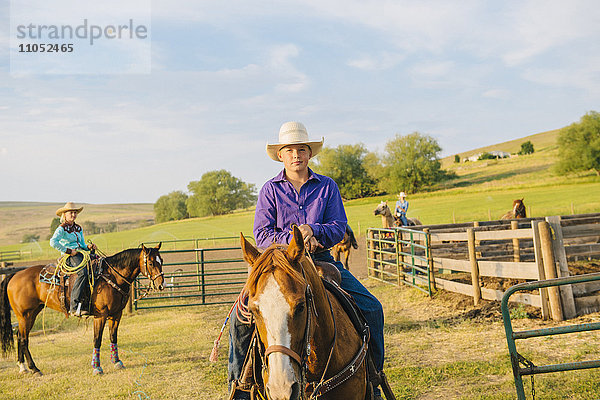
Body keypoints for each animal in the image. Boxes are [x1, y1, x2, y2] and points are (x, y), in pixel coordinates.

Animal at [0, 242, 164, 376]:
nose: (161, 285)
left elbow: (113, 337)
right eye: (150, 262)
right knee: (23, 339)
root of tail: (15, 275)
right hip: (25, 315)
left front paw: (117, 362)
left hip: (32, 313)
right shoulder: (101, 315)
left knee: (19, 337)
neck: (111, 276)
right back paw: (34, 368)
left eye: (161, 261)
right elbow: (97, 339)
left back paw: (23, 367)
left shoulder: (116, 314)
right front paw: (97, 368)